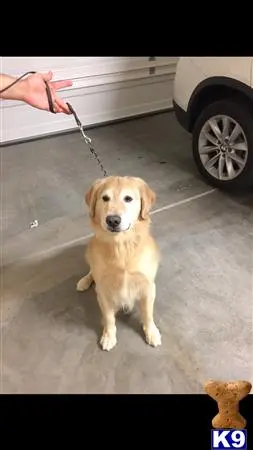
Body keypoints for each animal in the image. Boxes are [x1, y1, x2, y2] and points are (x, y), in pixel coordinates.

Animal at [76, 176, 161, 352]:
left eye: (128, 198)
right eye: (105, 198)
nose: (113, 220)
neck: (121, 245)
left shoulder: (148, 287)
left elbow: (148, 315)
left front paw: (151, 333)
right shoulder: (103, 291)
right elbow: (109, 318)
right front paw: (109, 336)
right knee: (91, 271)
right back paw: (84, 281)